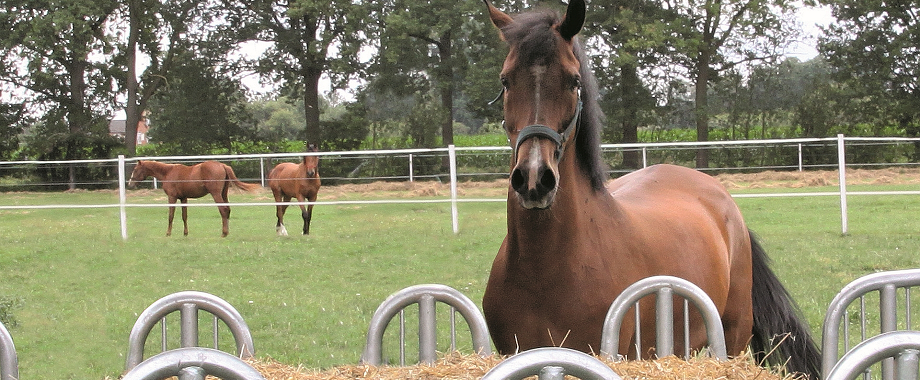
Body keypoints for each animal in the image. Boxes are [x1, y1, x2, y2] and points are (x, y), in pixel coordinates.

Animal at [127, 160, 260, 238]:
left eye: (135, 170)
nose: (130, 184)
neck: (168, 172)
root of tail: (222, 165)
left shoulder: (172, 197)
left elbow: (171, 216)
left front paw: (168, 233)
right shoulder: (183, 198)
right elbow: (184, 216)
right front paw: (185, 233)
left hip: (216, 194)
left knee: (223, 210)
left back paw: (224, 233)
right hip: (223, 193)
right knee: (228, 209)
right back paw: (227, 232)